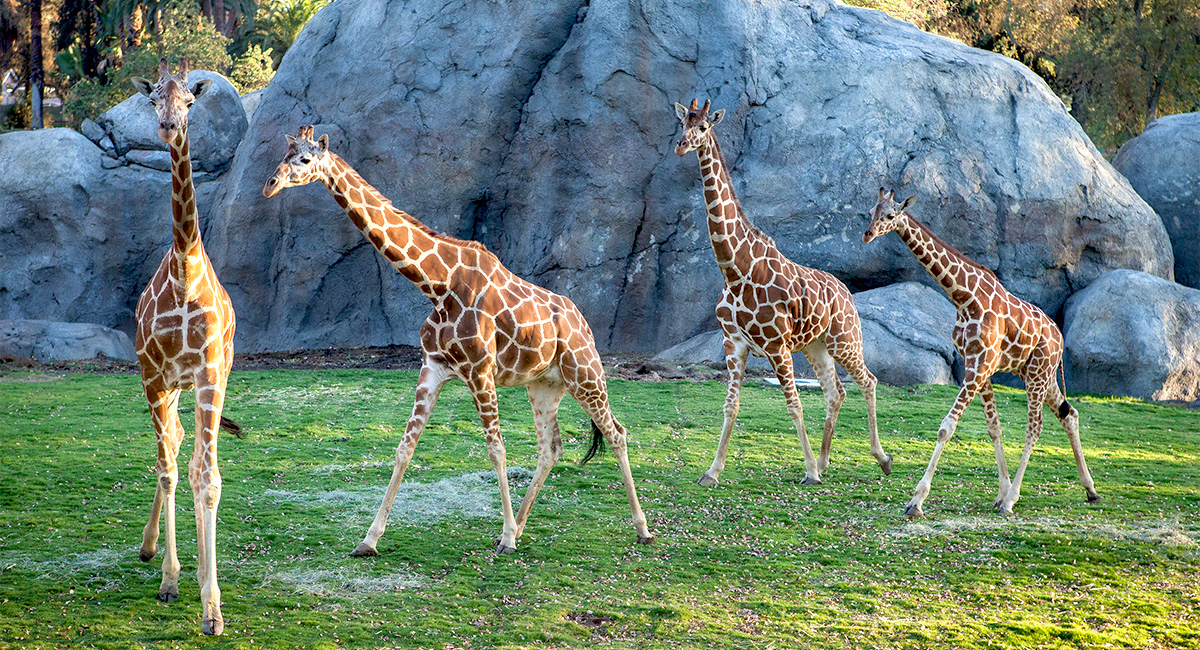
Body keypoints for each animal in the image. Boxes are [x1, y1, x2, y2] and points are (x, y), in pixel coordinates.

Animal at [264, 125, 657, 556]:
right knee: (551, 448)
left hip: (586, 375)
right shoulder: (433, 367)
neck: (438, 284)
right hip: (545, 385)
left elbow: (496, 449)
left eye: (304, 159)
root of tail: (582, 322)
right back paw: (522, 525)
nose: (270, 185)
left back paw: (640, 528)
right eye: (283, 154)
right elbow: (405, 448)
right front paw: (368, 539)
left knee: (617, 433)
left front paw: (506, 538)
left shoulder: (480, 370)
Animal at [676, 99, 892, 489]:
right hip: (815, 346)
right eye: (682, 123)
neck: (736, 270)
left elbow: (794, 405)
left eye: (703, 127)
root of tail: (847, 293)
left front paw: (808, 472)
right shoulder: (734, 343)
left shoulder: (777, 345)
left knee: (867, 380)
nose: (681, 146)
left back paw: (880, 459)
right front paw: (711, 472)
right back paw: (824, 461)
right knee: (835, 391)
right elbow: (730, 405)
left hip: (844, 339)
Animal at [864, 189, 1099, 520]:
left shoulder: (979, 366)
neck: (963, 297)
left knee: (1035, 428)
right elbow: (994, 428)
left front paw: (916, 502)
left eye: (890, 215)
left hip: (1038, 374)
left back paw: (1014, 499)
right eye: (871, 211)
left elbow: (946, 428)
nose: (868, 234)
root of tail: (1060, 337)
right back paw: (1090, 491)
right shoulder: (978, 366)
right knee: (1070, 414)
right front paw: (999, 494)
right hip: (1040, 373)